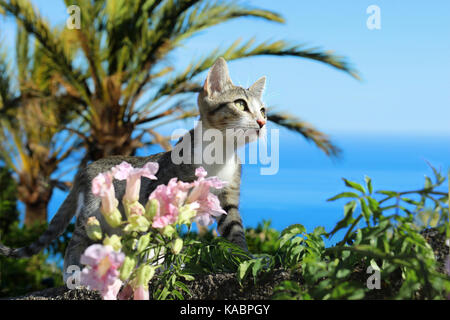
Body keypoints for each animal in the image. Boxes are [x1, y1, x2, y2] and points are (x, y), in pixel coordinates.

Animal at [0, 57, 268, 280]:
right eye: (240, 104)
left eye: (263, 109)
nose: (262, 122)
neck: (219, 152)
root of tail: (86, 169)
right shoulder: (162, 192)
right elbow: (164, 236)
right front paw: (166, 266)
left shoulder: (227, 194)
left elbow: (233, 227)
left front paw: (244, 259)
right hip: (94, 212)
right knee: (77, 240)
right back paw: (73, 273)